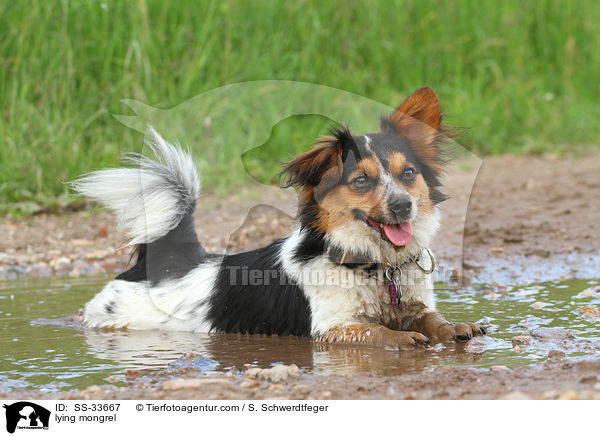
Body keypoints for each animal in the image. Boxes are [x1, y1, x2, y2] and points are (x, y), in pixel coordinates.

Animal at [72, 87, 486, 350]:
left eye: (409, 174)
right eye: (361, 180)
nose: (403, 206)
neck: (378, 265)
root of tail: (170, 260)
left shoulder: (415, 304)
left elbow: (432, 318)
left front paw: (456, 327)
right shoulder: (330, 328)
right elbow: (371, 332)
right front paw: (398, 338)